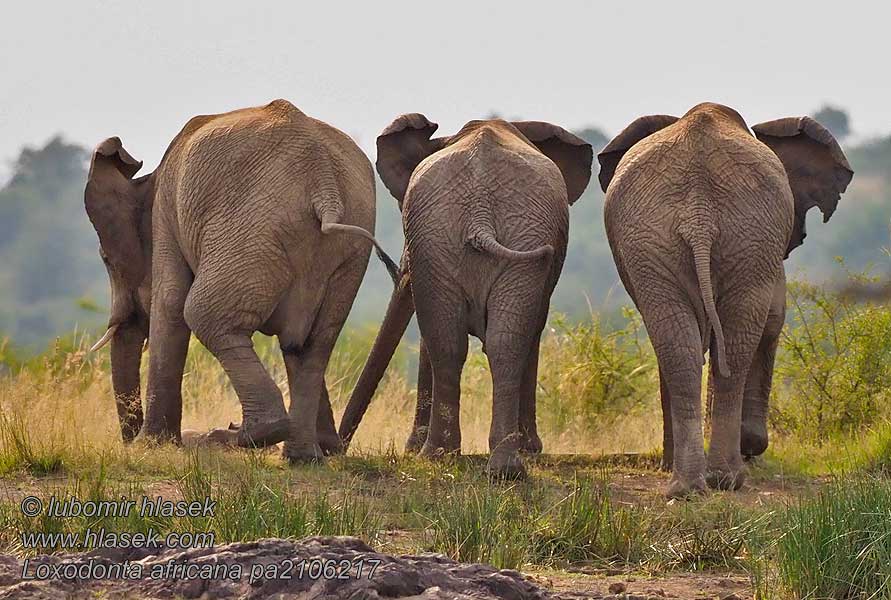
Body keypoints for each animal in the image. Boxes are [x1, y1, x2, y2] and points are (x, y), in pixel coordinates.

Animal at [86, 99, 398, 460]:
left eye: (106, 259)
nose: (128, 438)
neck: (149, 179)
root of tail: (325, 184)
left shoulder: (165, 214)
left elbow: (170, 302)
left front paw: (154, 445)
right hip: (345, 249)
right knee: (312, 344)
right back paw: (301, 457)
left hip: (251, 230)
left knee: (204, 314)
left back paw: (246, 435)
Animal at [334, 113, 592, 478]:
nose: (337, 449)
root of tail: (479, 209)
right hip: (453, 236)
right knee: (482, 342)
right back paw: (472, 462)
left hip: (458, 236)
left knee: (464, 341)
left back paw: (468, 460)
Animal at [596, 102, 852, 496]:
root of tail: (698, 213)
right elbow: (772, 321)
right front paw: (751, 448)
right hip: (747, 235)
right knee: (739, 336)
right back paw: (727, 478)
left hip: (659, 238)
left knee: (677, 343)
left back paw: (686, 486)